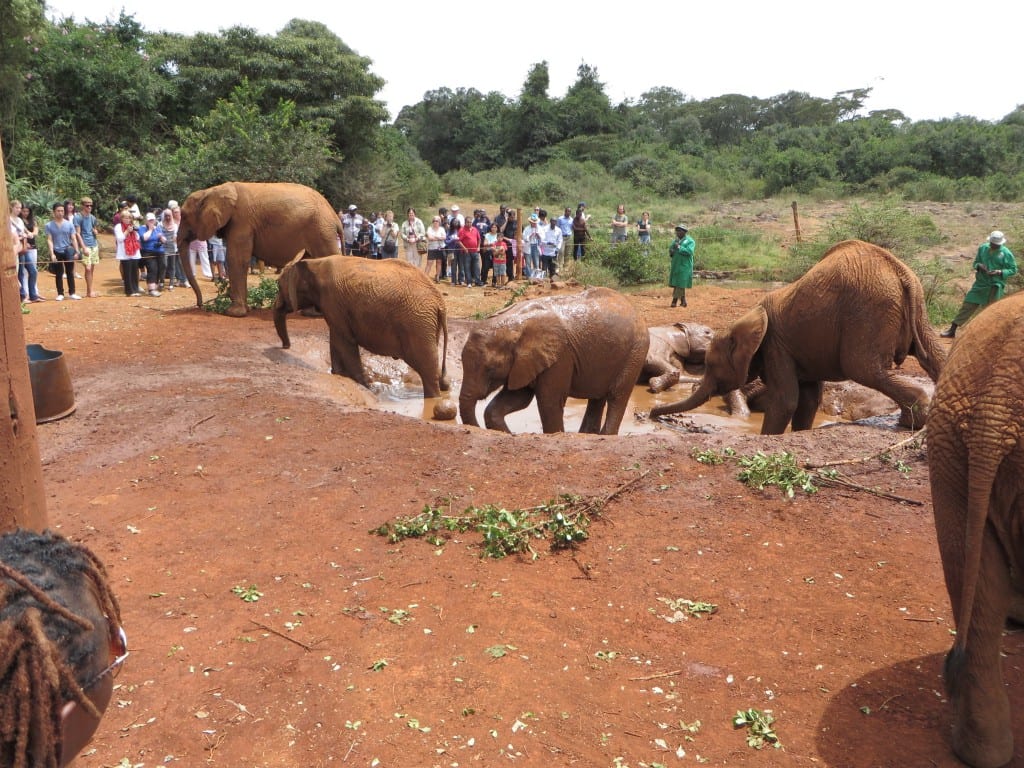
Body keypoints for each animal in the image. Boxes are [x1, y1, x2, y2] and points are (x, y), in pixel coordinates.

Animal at [177, 181, 345, 317]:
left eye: (183, 216)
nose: (200, 305)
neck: (211, 191)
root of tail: (335, 217)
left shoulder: (242, 222)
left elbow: (236, 259)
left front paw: (232, 313)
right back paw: (310, 313)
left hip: (321, 230)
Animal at [273, 252, 450, 398]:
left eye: (278, 285)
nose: (286, 346)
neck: (313, 263)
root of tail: (439, 302)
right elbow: (336, 338)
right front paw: (338, 374)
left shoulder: (332, 300)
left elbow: (345, 342)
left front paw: (365, 387)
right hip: (425, 323)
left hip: (418, 322)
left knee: (427, 369)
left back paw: (433, 399)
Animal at [459, 287, 649, 434]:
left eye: (491, 369)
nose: (473, 430)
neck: (513, 323)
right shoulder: (524, 363)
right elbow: (519, 397)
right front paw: (508, 433)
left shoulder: (560, 356)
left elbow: (549, 401)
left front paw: (555, 434)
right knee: (597, 397)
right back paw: (587, 434)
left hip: (635, 351)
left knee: (617, 396)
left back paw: (606, 435)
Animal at [649, 239, 946, 434]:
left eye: (711, 365)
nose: (651, 413)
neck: (747, 318)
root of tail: (899, 272)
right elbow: (808, 399)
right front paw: (800, 431)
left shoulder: (775, 347)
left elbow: (786, 401)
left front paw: (768, 437)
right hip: (916, 309)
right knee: (935, 355)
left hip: (869, 313)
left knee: (863, 368)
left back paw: (911, 423)